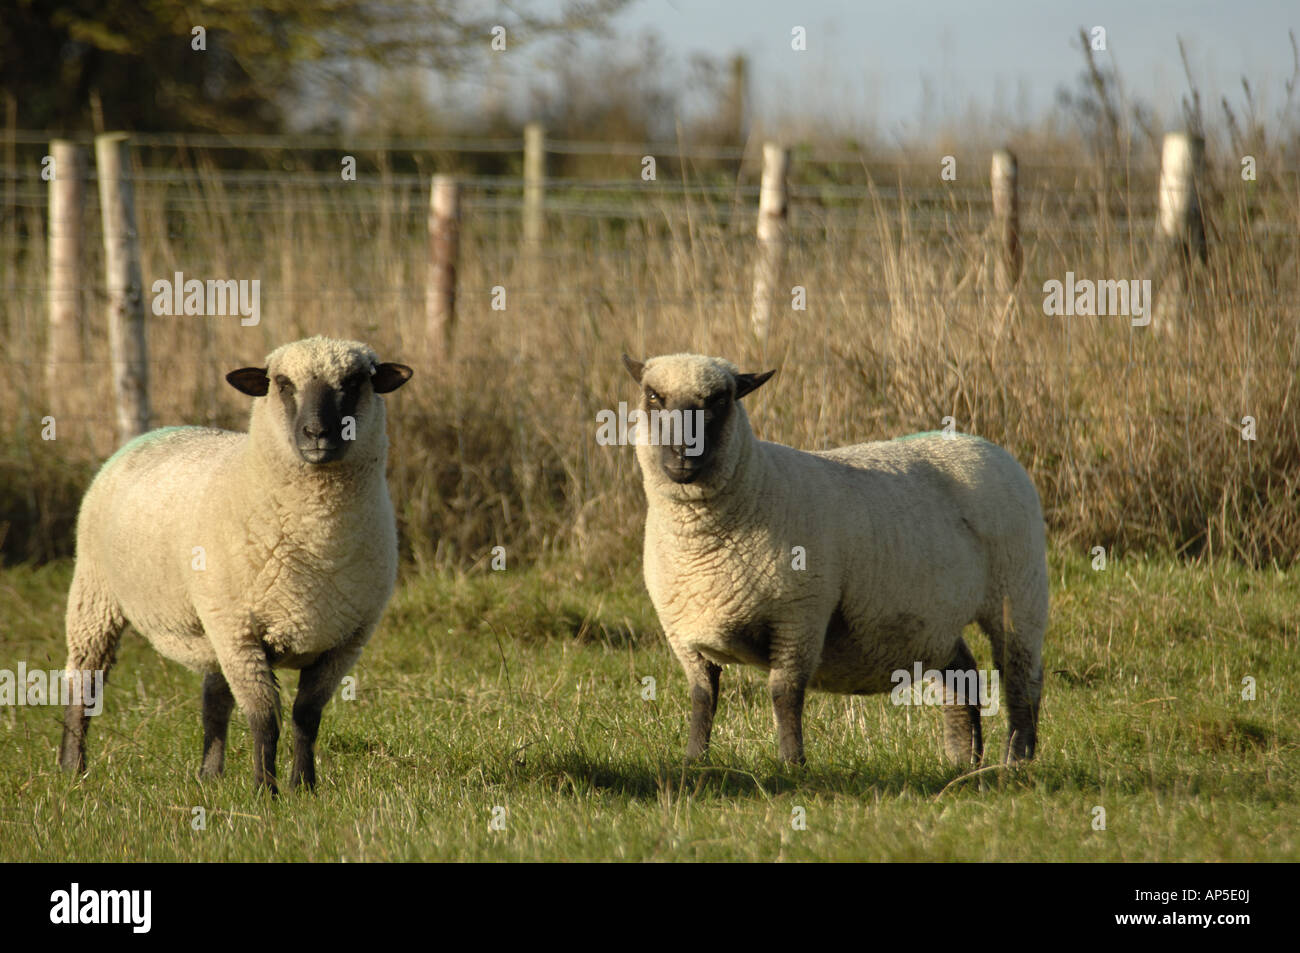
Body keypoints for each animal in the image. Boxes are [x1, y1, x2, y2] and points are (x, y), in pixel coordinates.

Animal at [58, 336, 413, 793]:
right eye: (282, 384)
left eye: (355, 381)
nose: (317, 433)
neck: (318, 539)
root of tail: (154, 433)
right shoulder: (241, 633)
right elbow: (264, 718)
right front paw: (266, 791)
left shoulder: (344, 642)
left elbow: (306, 717)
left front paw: (305, 787)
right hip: (96, 595)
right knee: (83, 681)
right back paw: (72, 766)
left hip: (210, 626)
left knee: (214, 698)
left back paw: (209, 774)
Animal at [621, 352, 1048, 767]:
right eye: (653, 396)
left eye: (719, 400)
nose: (682, 454)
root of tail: (982, 444)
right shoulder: (683, 633)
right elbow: (702, 698)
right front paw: (694, 762)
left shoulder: (800, 616)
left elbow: (784, 694)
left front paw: (791, 765)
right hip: (931, 621)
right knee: (961, 670)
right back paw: (964, 758)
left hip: (1019, 592)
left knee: (1021, 679)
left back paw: (1015, 760)